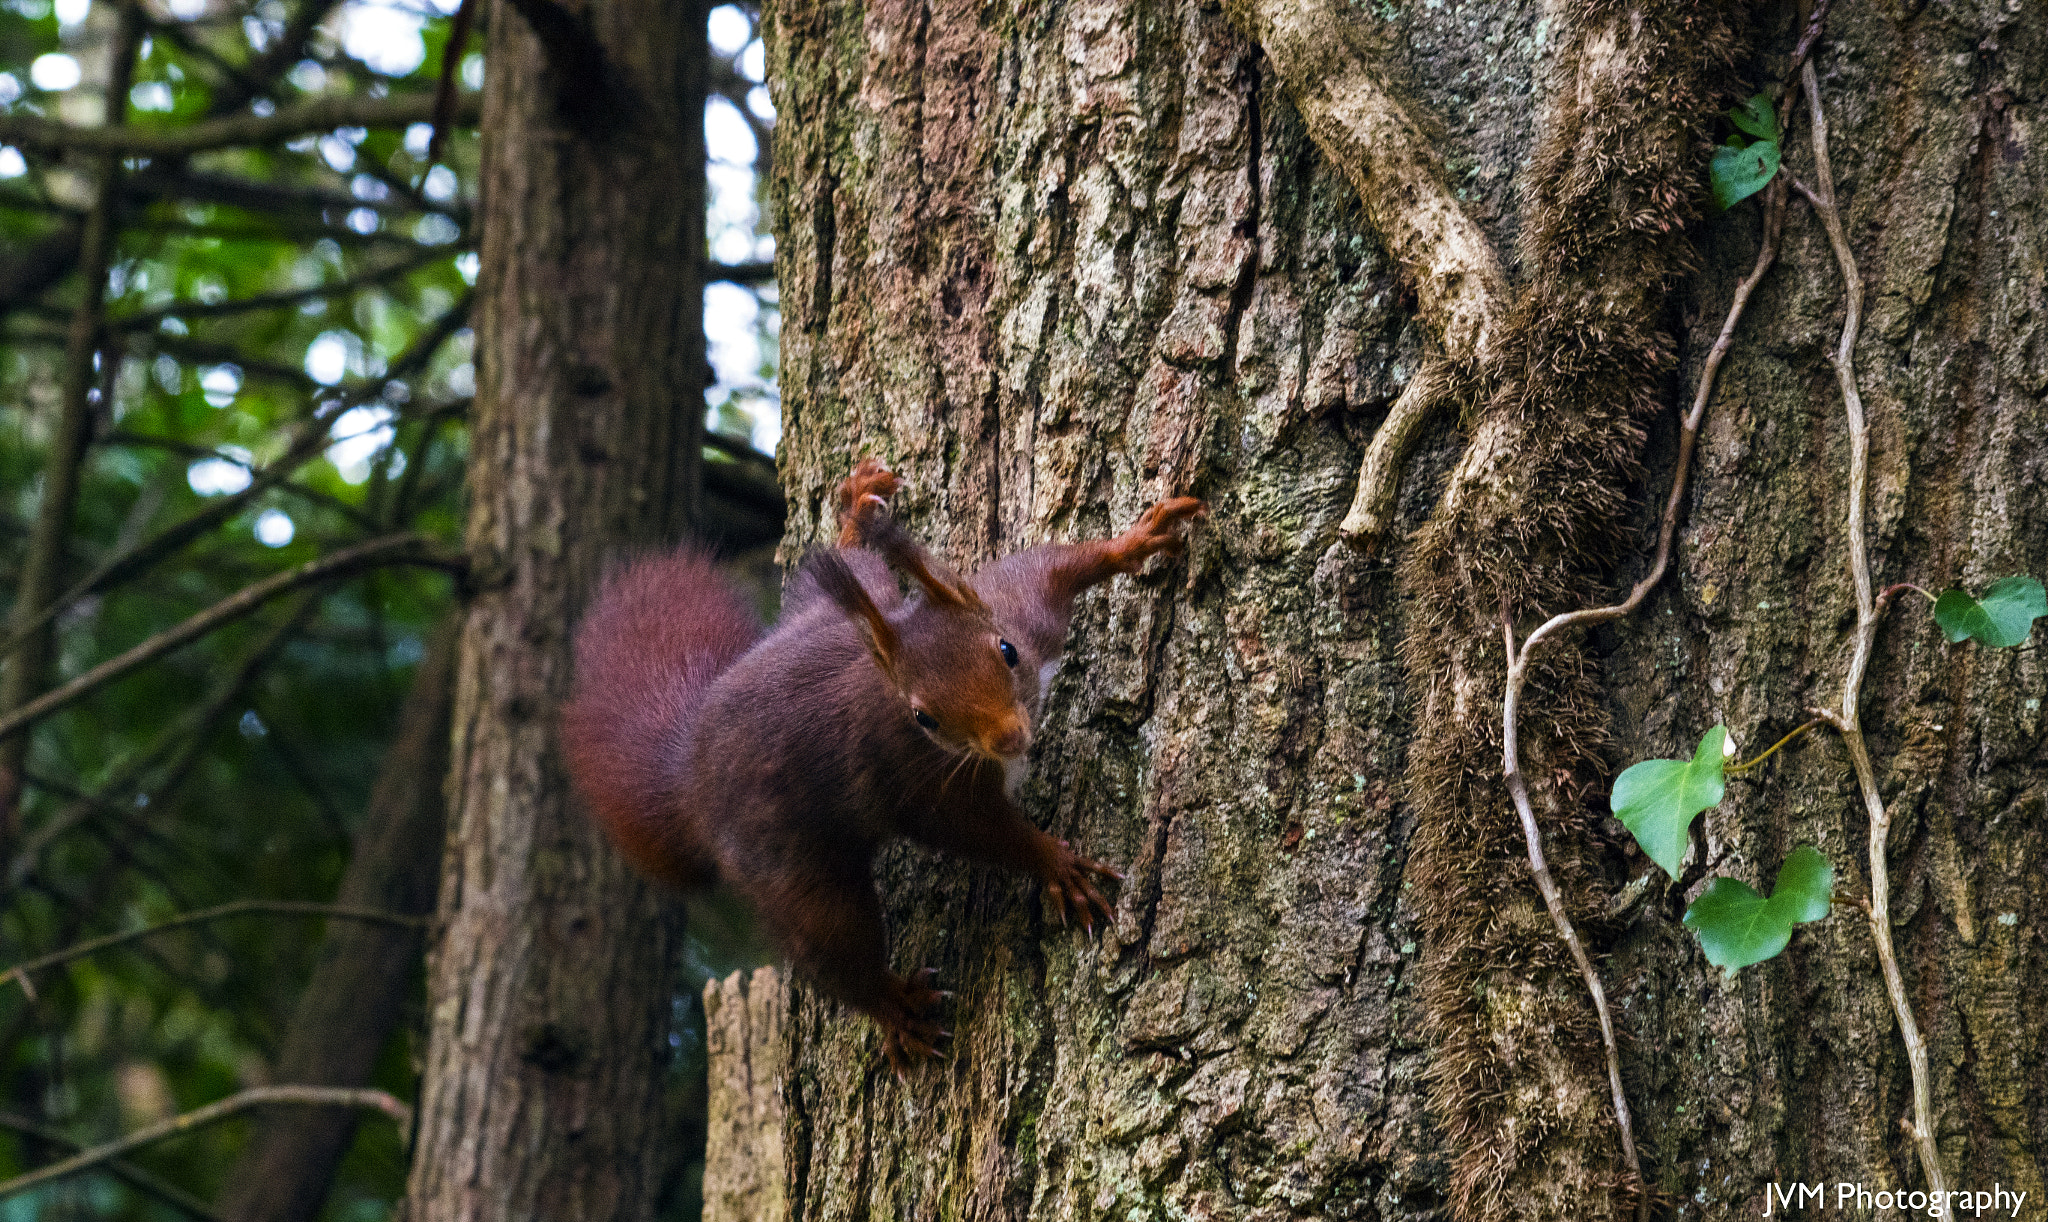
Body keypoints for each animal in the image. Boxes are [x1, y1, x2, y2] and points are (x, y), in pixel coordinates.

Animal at [561, 458, 1196, 1064]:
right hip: (791, 866)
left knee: (847, 567)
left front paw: (1138, 539)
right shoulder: (918, 778)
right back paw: (896, 1007)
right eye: (924, 718)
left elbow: (1053, 564)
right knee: (838, 952)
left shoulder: (1018, 606)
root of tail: (689, 771)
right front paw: (1057, 866)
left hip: (834, 604)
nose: (1010, 740)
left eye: (1007, 651)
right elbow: (980, 831)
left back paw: (857, 512)